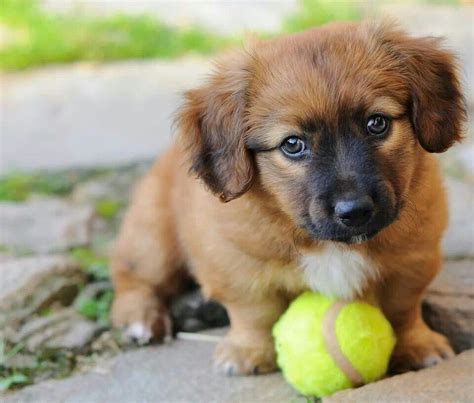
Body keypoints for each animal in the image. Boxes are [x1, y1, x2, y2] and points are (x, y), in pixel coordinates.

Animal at [109, 21, 464, 376]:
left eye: (377, 123)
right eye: (292, 144)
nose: (355, 212)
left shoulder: (413, 259)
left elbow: (402, 307)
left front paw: (417, 344)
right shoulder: (237, 263)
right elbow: (254, 311)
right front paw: (248, 351)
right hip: (154, 237)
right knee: (132, 276)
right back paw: (140, 319)